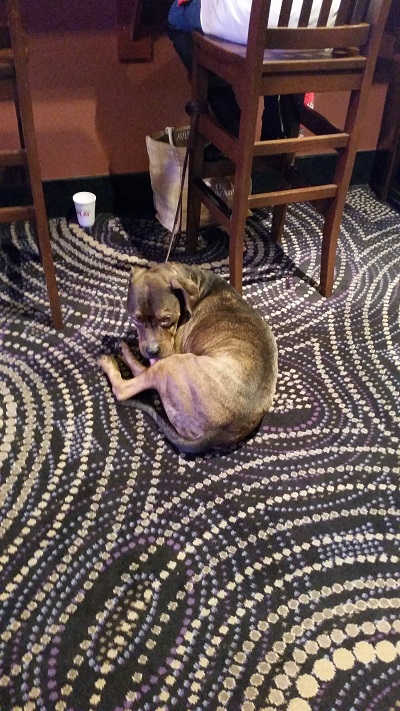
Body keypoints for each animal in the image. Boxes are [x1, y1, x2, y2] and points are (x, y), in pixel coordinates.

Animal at [98, 262, 276, 456]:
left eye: (166, 319)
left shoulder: (170, 350)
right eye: (136, 319)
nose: (151, 350)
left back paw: (116, 358)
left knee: (128, 386)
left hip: (172, 363)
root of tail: (218, 433)